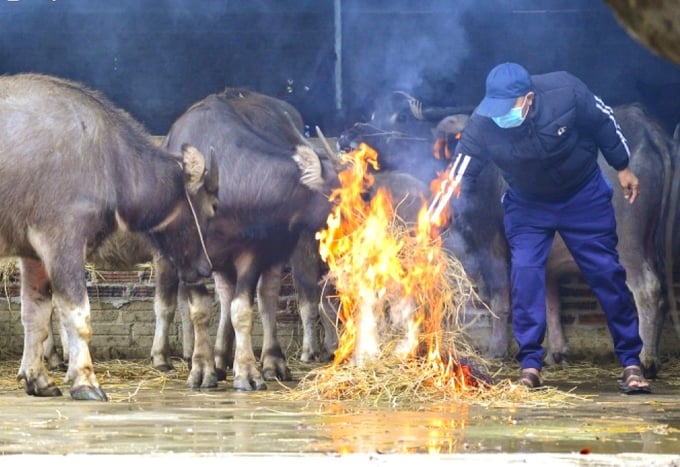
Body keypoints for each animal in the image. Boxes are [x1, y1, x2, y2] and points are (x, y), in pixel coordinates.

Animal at [0, 74, 218, 402]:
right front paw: (85, 382)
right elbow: (79, 317)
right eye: (210, 209)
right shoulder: (63, 242)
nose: (206, 267)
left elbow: (35, 316)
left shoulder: (33, 254)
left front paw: (38, 380)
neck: (109, 161)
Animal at [160, 88, 340, 392]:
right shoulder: (187, 258)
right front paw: (201, 369)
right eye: (339, 194)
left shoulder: (252, 252)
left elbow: (242, 310)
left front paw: (246, 372)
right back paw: (220, 359)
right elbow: (201, 311)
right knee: (224, 294)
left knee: (266, 297)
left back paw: (272, 362)